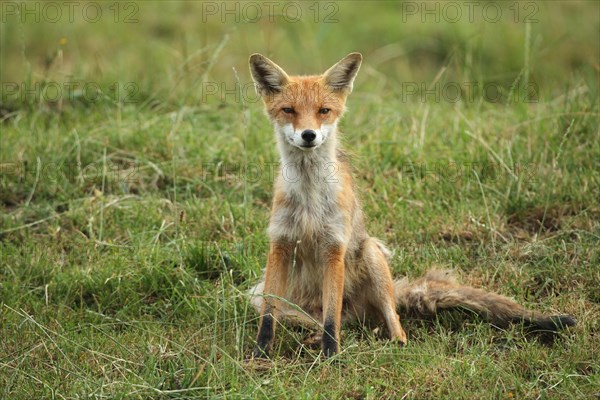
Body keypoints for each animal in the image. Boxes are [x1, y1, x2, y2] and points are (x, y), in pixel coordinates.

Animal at [246, 51, 576, 358]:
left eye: (323, 111)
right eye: (289, 110)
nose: (308, 135)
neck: (310, 196)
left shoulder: (334, 247)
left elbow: (331, 319)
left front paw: (331, 355)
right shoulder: (280, 243)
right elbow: (269, 317)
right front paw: (260, 353)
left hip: (371, 254)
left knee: (381, 317)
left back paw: (391, 340)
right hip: (261, 296)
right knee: (311, 319)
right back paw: (313, 337)